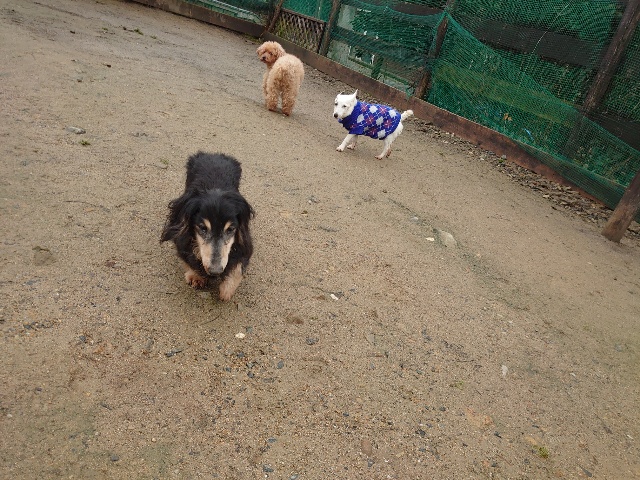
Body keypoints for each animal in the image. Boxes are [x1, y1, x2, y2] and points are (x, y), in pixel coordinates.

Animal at [161, 152, 254, 301]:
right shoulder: (181, 238)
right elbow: (188, 258)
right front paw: (196, 276)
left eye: (230, 229)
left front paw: (227, 289)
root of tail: (215, 154)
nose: (215, 271)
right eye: (203, 228)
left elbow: (238, 265)